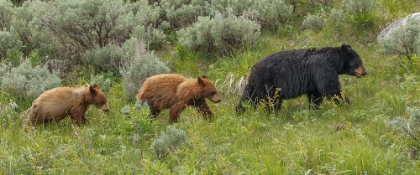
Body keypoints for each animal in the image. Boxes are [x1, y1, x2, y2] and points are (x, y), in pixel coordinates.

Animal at [236, 43, 368, 112]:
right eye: (358, 62)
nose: (365, 72)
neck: (333, 62)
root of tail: (253, 68)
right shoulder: (322, 68)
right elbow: (331, 88)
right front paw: (347, 103)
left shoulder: (314, 79)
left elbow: (315, 94)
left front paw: (314, 109)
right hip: (267, 82)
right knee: (270, 99)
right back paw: (273, 112)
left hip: (255, 83)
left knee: (248, 97)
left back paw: (241, 110)